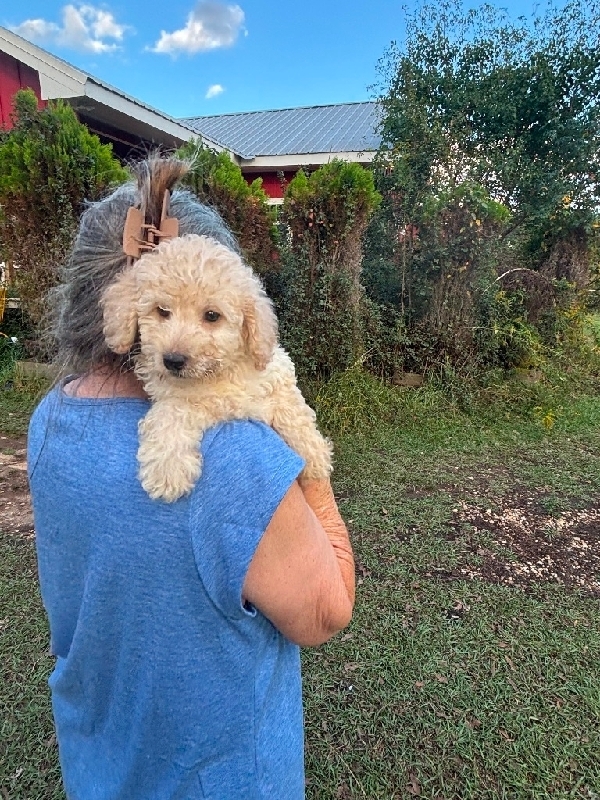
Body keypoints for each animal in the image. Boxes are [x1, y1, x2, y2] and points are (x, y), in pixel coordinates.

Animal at [100, 234, 333, 502]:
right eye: (162, 311)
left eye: (212, 315)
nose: (173, 360)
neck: (222, 370)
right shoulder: (190, 398)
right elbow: (174, 410)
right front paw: (168, 471)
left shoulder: (278, 369)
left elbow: (293, 410)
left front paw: (316, 456)